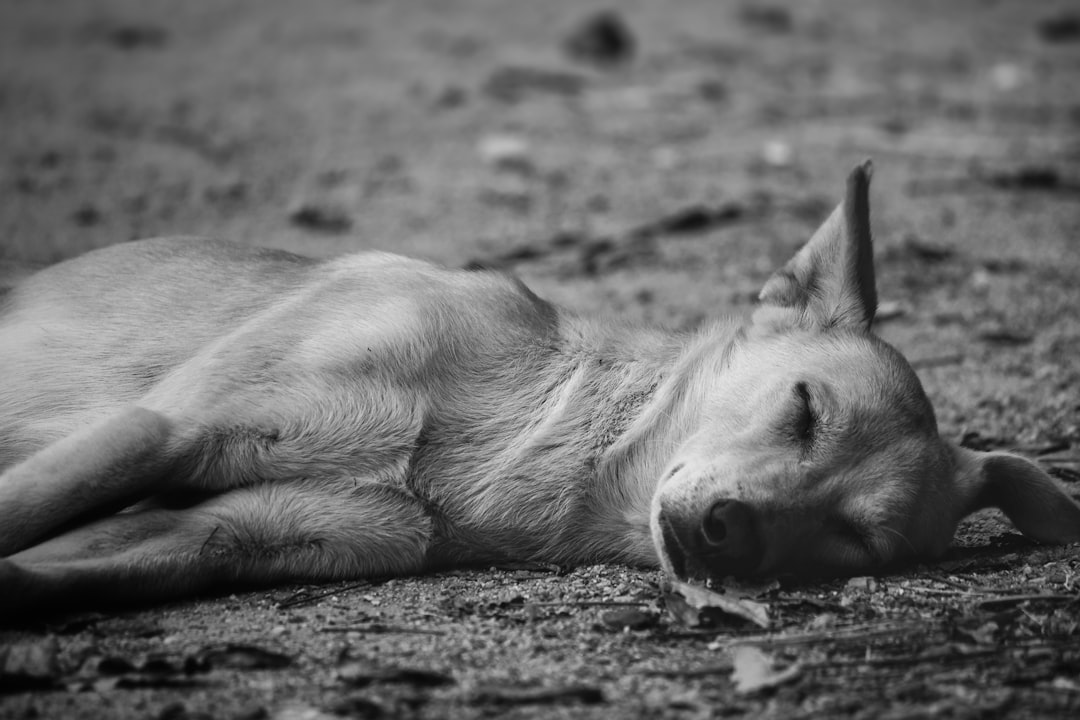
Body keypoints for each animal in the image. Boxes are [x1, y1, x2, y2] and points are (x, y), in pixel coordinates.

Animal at [2, 165, 1080, 613]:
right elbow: (26, 510)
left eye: (857, 542)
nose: (729, 531)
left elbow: (42, 569)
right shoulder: (165, 428)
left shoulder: (218, 532)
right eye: (804, 406)